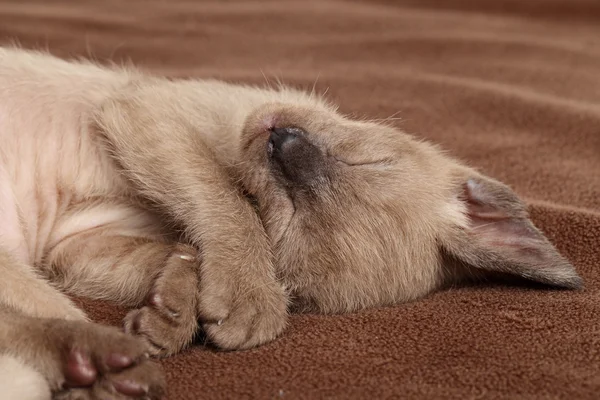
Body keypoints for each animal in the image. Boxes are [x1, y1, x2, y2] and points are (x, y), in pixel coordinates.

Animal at [0, 47, 580, 400]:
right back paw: (105, 369)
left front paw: (172, 313)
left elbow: (191, 245)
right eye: (374, 161)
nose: (281, 141)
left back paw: (101, 365)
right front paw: (246, 297)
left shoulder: (78, 245)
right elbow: (221, 200)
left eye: (284, 212)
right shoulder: (150, 111)